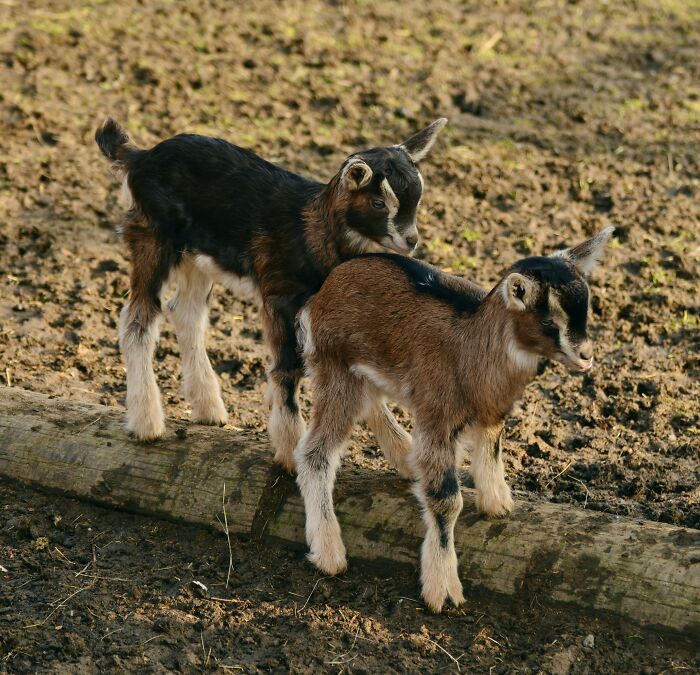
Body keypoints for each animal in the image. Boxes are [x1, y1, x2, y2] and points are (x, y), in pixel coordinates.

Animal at [95, 117, 447, 468]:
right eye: (378, 203)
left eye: (417, 199)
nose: (411, 241)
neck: (312, 232)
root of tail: (140, 157)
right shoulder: (280, 298)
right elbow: (288, 368)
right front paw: (290, 451)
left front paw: (403, 455)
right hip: (153, 236)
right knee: (138, 319)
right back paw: (147, 424)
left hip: (197, 256)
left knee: (186, 313)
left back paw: (209, 408)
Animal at [294, 227, 614, 612]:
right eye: (549, 321)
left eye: (586, 310)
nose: (586, 357)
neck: (470, 348)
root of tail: (324, 289)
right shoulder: (437, 419)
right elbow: (446, 499)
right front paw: (443, 589)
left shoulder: (491, 412)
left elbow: (491, 451)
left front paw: (497, 505)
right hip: (335, 368)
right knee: (315, 453)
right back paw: (329, 553)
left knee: (370, 404)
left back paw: (405, 459)